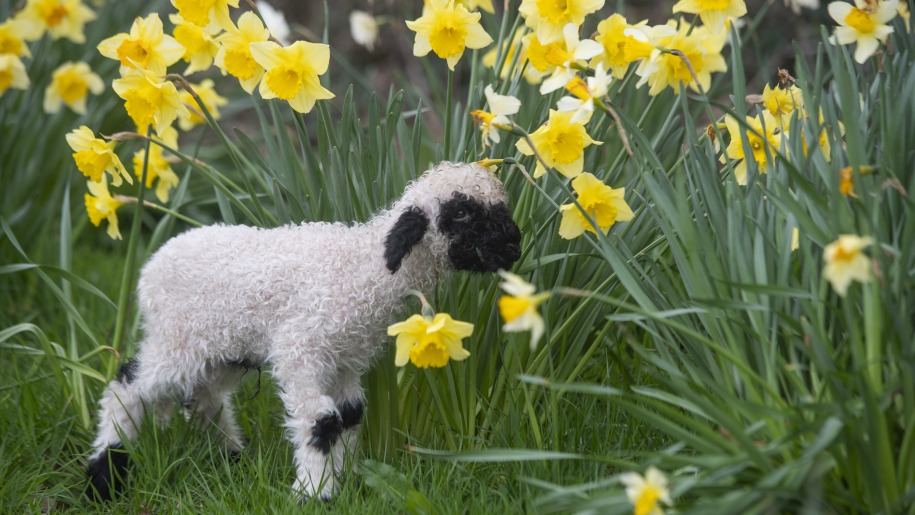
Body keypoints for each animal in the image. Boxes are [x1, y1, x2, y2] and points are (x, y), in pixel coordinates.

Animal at [85, 161, 522, 502]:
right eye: (460, 213)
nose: (514, 248)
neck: (363, 268)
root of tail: (151, 266)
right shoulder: (302, 347)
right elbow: (321, 419)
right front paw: (315, 492)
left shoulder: (344, 358)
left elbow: (350, 414)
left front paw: (344, 481)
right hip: (179, 339)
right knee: (128, 385)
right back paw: (104, 478)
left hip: (224, 348)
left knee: (204, 397)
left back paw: (232, 460)